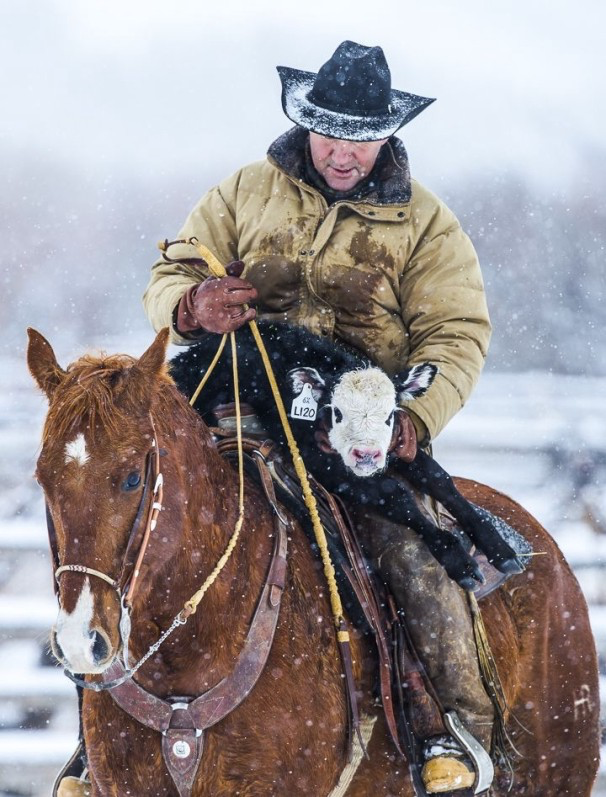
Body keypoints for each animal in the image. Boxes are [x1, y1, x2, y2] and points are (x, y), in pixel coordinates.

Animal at [27, 326, 600, 792]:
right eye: (43, 478)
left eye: (133, 477)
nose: (80, 641)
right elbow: (400, 487)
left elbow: (416, 481)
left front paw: (471, 548)